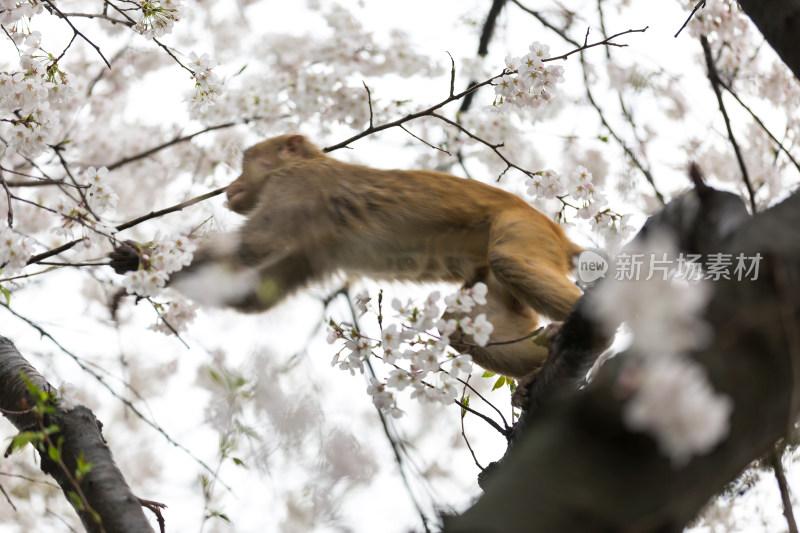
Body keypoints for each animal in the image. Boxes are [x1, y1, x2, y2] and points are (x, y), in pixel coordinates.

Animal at [109, 133, 584, 378]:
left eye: (246, 164)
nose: (230, 186)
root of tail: (557, 233)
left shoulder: (296, 188)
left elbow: (252, 248)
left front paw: (146, 257)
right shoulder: (313, 247)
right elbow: (255, 296)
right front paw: (137, 263)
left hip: (522, 228)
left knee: (511, 262)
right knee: (461, 325)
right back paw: (537, 374)